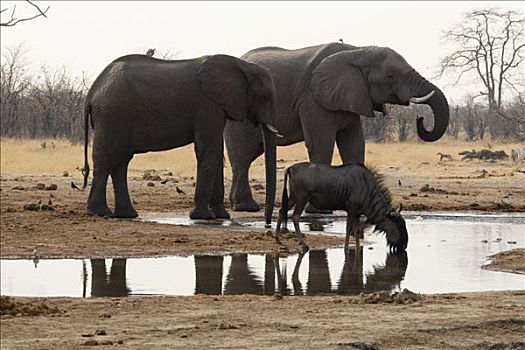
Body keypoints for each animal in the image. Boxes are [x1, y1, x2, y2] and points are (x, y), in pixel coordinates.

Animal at [81, 53, 278, 223]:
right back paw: (100, 213)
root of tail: (91, 92)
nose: (267, 223)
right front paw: (204, 217)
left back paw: (127, 215)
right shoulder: (207, 105)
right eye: (264, 96)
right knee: (105, 160)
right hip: (112, 115)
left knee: (121, 163)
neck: (242, 65)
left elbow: (216, 153)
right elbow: (209, 151)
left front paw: (222, 216)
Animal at [223, 41, 448, 211]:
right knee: (243, 154)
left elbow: (354, 144)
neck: (358, 51)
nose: (420, 118)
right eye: (390, 76)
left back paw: (242, 206)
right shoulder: (313, 99)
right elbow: (322, 143)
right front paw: (319, 210)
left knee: (248, 155)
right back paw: (246, 207)